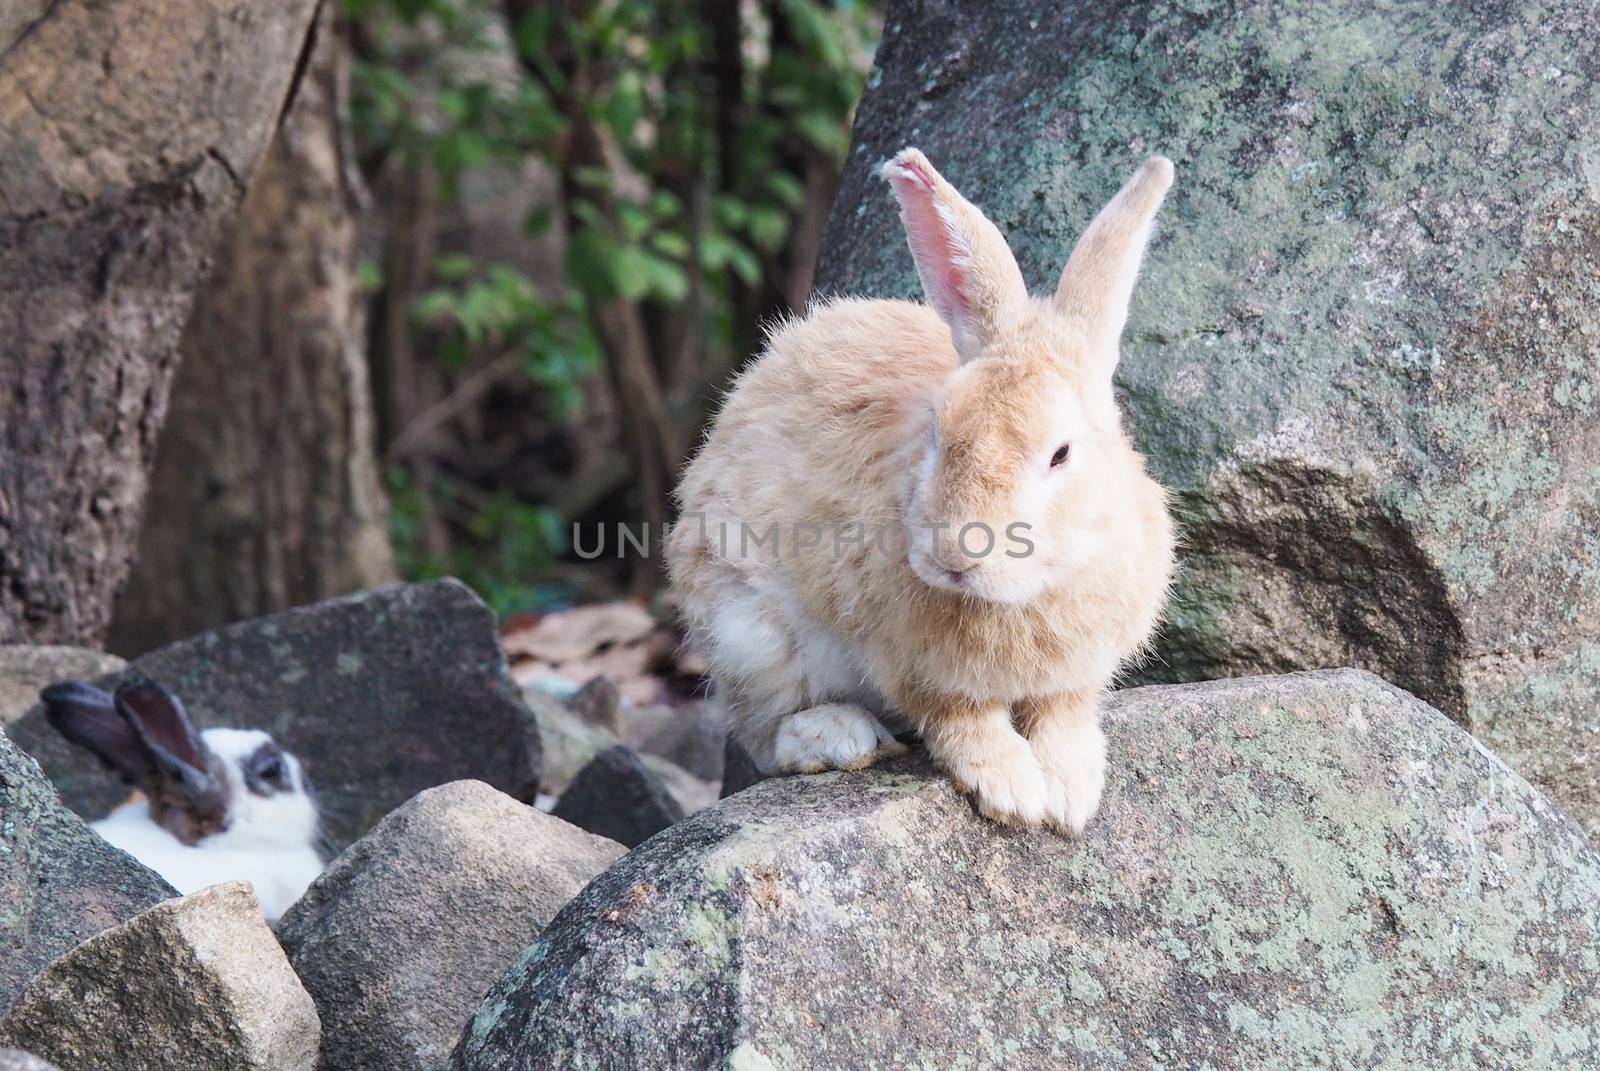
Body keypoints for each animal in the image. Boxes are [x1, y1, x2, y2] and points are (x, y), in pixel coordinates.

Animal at [662, 146, 1177, 832]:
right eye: (938, 427)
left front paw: (1071, 795)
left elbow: (1063, 714)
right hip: (747, 630)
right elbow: (962, 720)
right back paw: (843, 736)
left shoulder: (1077, 672)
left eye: (1061, 454)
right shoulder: (916, 668)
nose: (957, 555)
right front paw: (1014, 793)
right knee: (764, 735)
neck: (1025, 590)